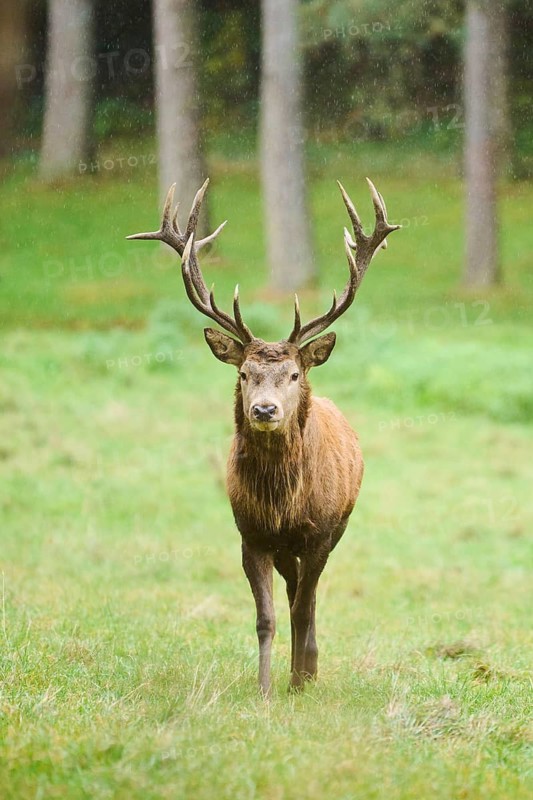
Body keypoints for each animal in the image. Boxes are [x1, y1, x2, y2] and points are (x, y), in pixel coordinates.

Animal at [127, 177, 399, 695]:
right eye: (245, 373)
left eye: (293, 374)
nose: (265, 410)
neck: (282, 503)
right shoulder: (250, 534)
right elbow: (266, 618)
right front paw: (266, 689)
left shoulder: (319, 533)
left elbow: (302, 607)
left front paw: (299, 680)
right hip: (283, 549)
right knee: (293, 592)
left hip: (339, 526)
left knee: (307, 597)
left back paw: (308, 668)